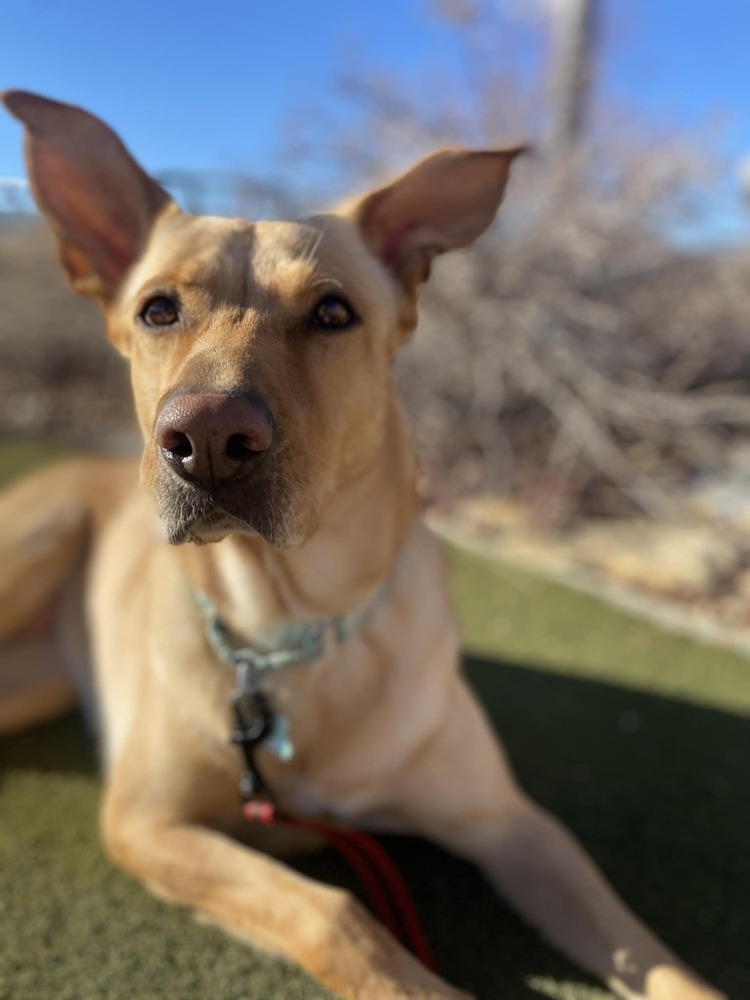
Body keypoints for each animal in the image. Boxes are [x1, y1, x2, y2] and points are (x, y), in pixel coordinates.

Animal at [0, 94, 724, 1000]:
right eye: (158, 309)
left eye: (332, 313)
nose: (206, 440)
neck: (291, 628)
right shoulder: (146, 821)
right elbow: (330, 913)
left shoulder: (516, 825)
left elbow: (653, 954)